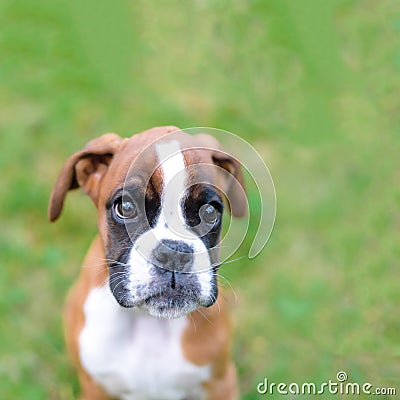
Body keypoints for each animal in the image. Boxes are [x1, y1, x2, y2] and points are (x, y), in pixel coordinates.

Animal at [48, 126, 245, 400]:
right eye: (125, 207)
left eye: (209, 211)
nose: (174, 254)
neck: (150, 323)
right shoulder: (96, 388)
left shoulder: (221, 384)